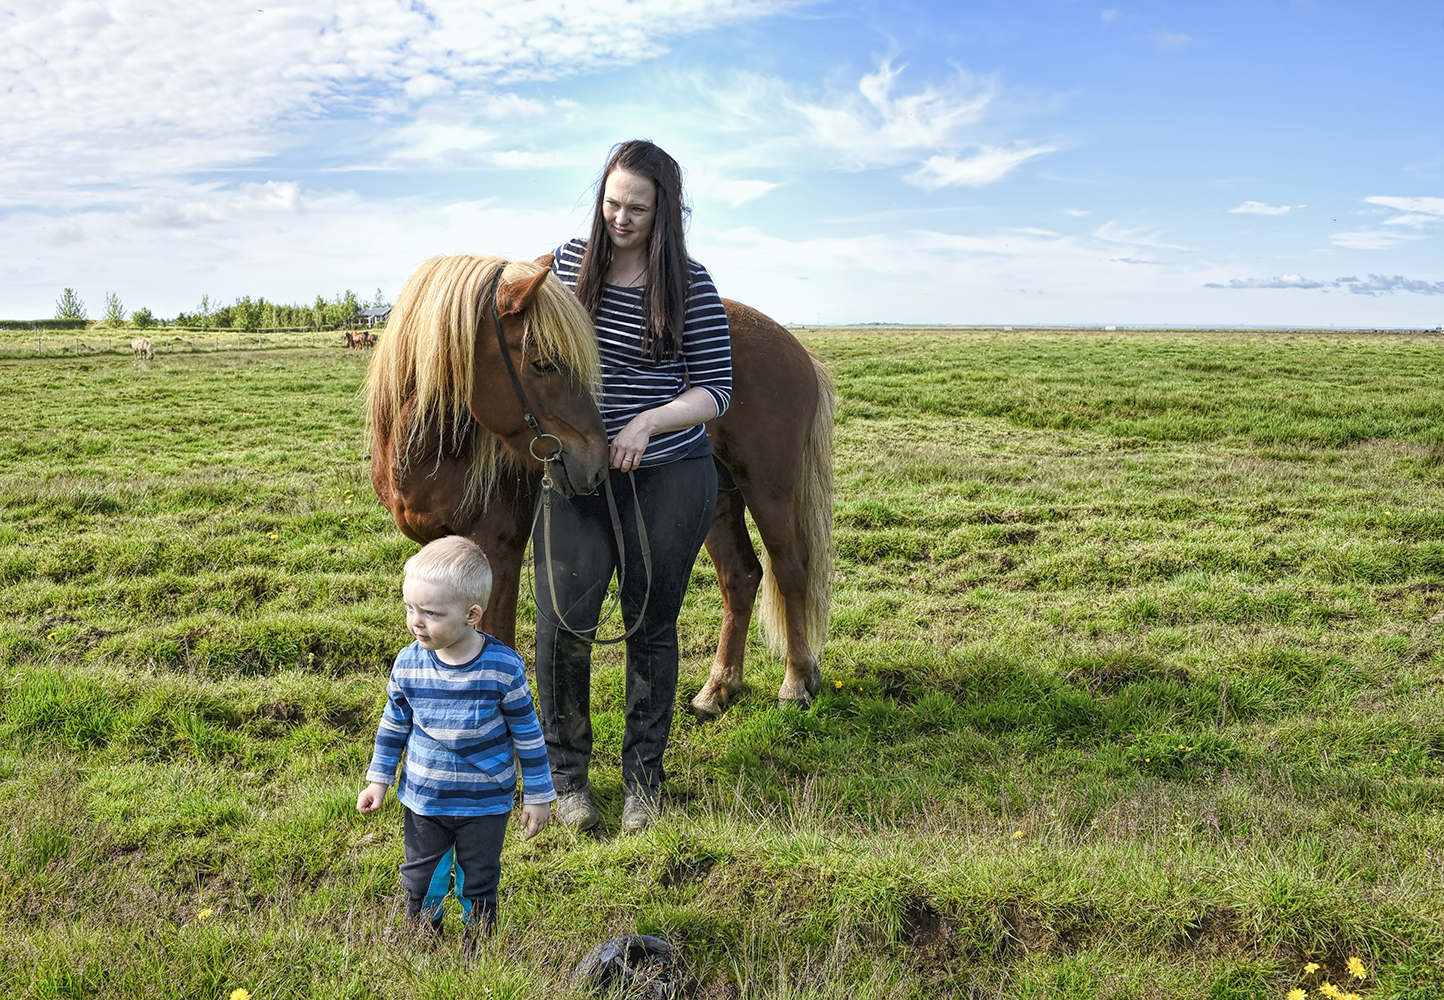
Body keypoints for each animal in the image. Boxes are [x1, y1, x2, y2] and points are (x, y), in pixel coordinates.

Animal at [366, 253, 837, 712]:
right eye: (543, 363)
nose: (595, 461)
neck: (436, 449)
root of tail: (800, 352)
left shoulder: (498, 549)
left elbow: (495, 641)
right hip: (720, 500)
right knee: (741, 576)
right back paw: (718, 688)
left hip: (769, 491)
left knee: (790, 569)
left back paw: (796, 681)